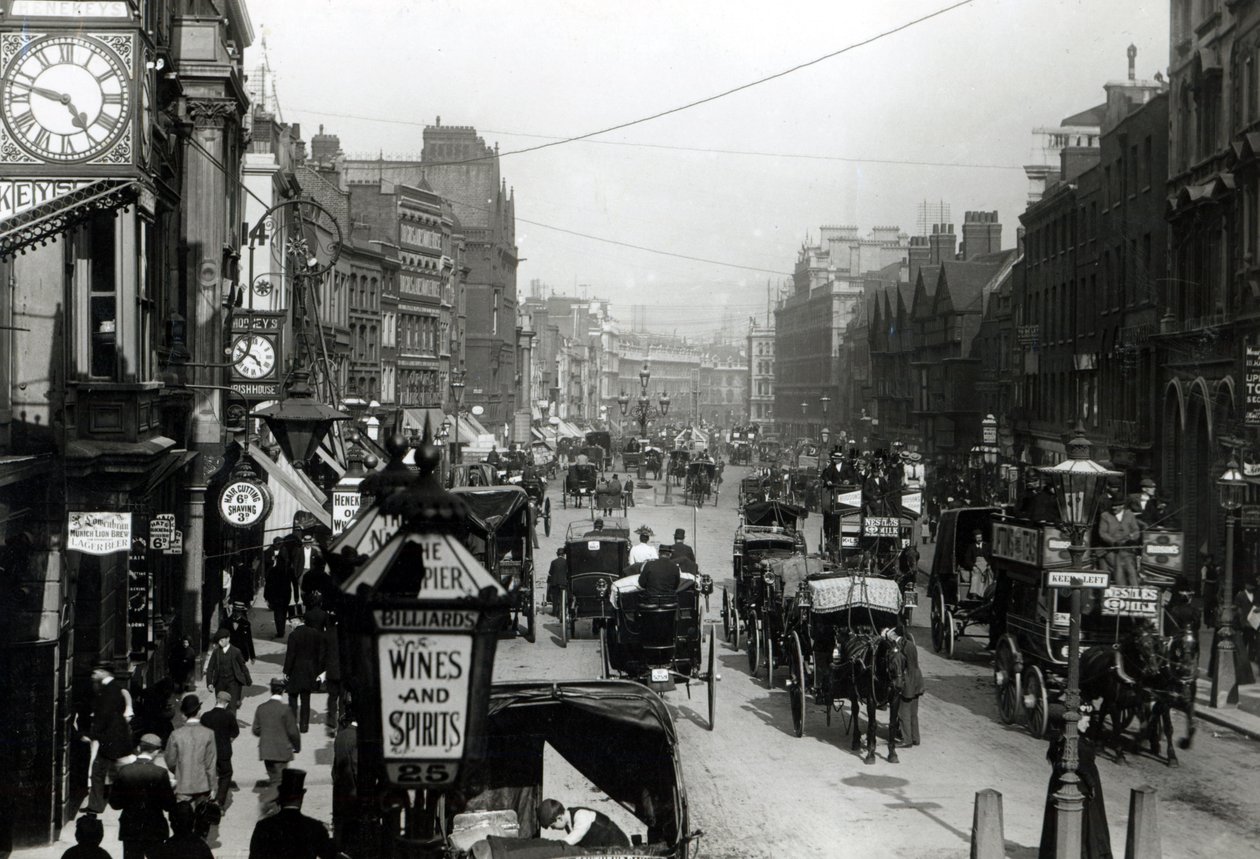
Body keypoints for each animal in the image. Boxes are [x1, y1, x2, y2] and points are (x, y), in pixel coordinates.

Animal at [831, 624, 912, 760]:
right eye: (890, 661)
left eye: (904, 660)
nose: (899, 685)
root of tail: (854, 635)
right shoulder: (871, 698)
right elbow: (873, 724)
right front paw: (870, 754)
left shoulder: (895, 698)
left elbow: (891, 724)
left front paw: (892, 753)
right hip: (852, 691)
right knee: (855, 711)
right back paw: (856, 740)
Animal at [1078, 614, 1164, 760]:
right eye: (1139, 642)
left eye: (1154, 643)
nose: (1153, 670)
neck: (1127, 674)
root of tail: (1088, 651)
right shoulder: (1114, 704)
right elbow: (1117, 727)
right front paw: (1119, 754)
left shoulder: (1137, 702)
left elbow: (1144, 725)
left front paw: (1137, 744)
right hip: (1089, 690)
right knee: (1087, 705)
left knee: (1102, 711)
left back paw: (1098, 741)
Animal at [1144, 622, 1199, 760]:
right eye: (1181, 645)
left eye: (1194, 644)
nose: (1187, 668)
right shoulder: (1166, 702)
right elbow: (1169, 728)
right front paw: (1172, 756)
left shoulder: (1188, 702)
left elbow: (1192, 727)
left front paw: (1184, 743)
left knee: (1154, 712)